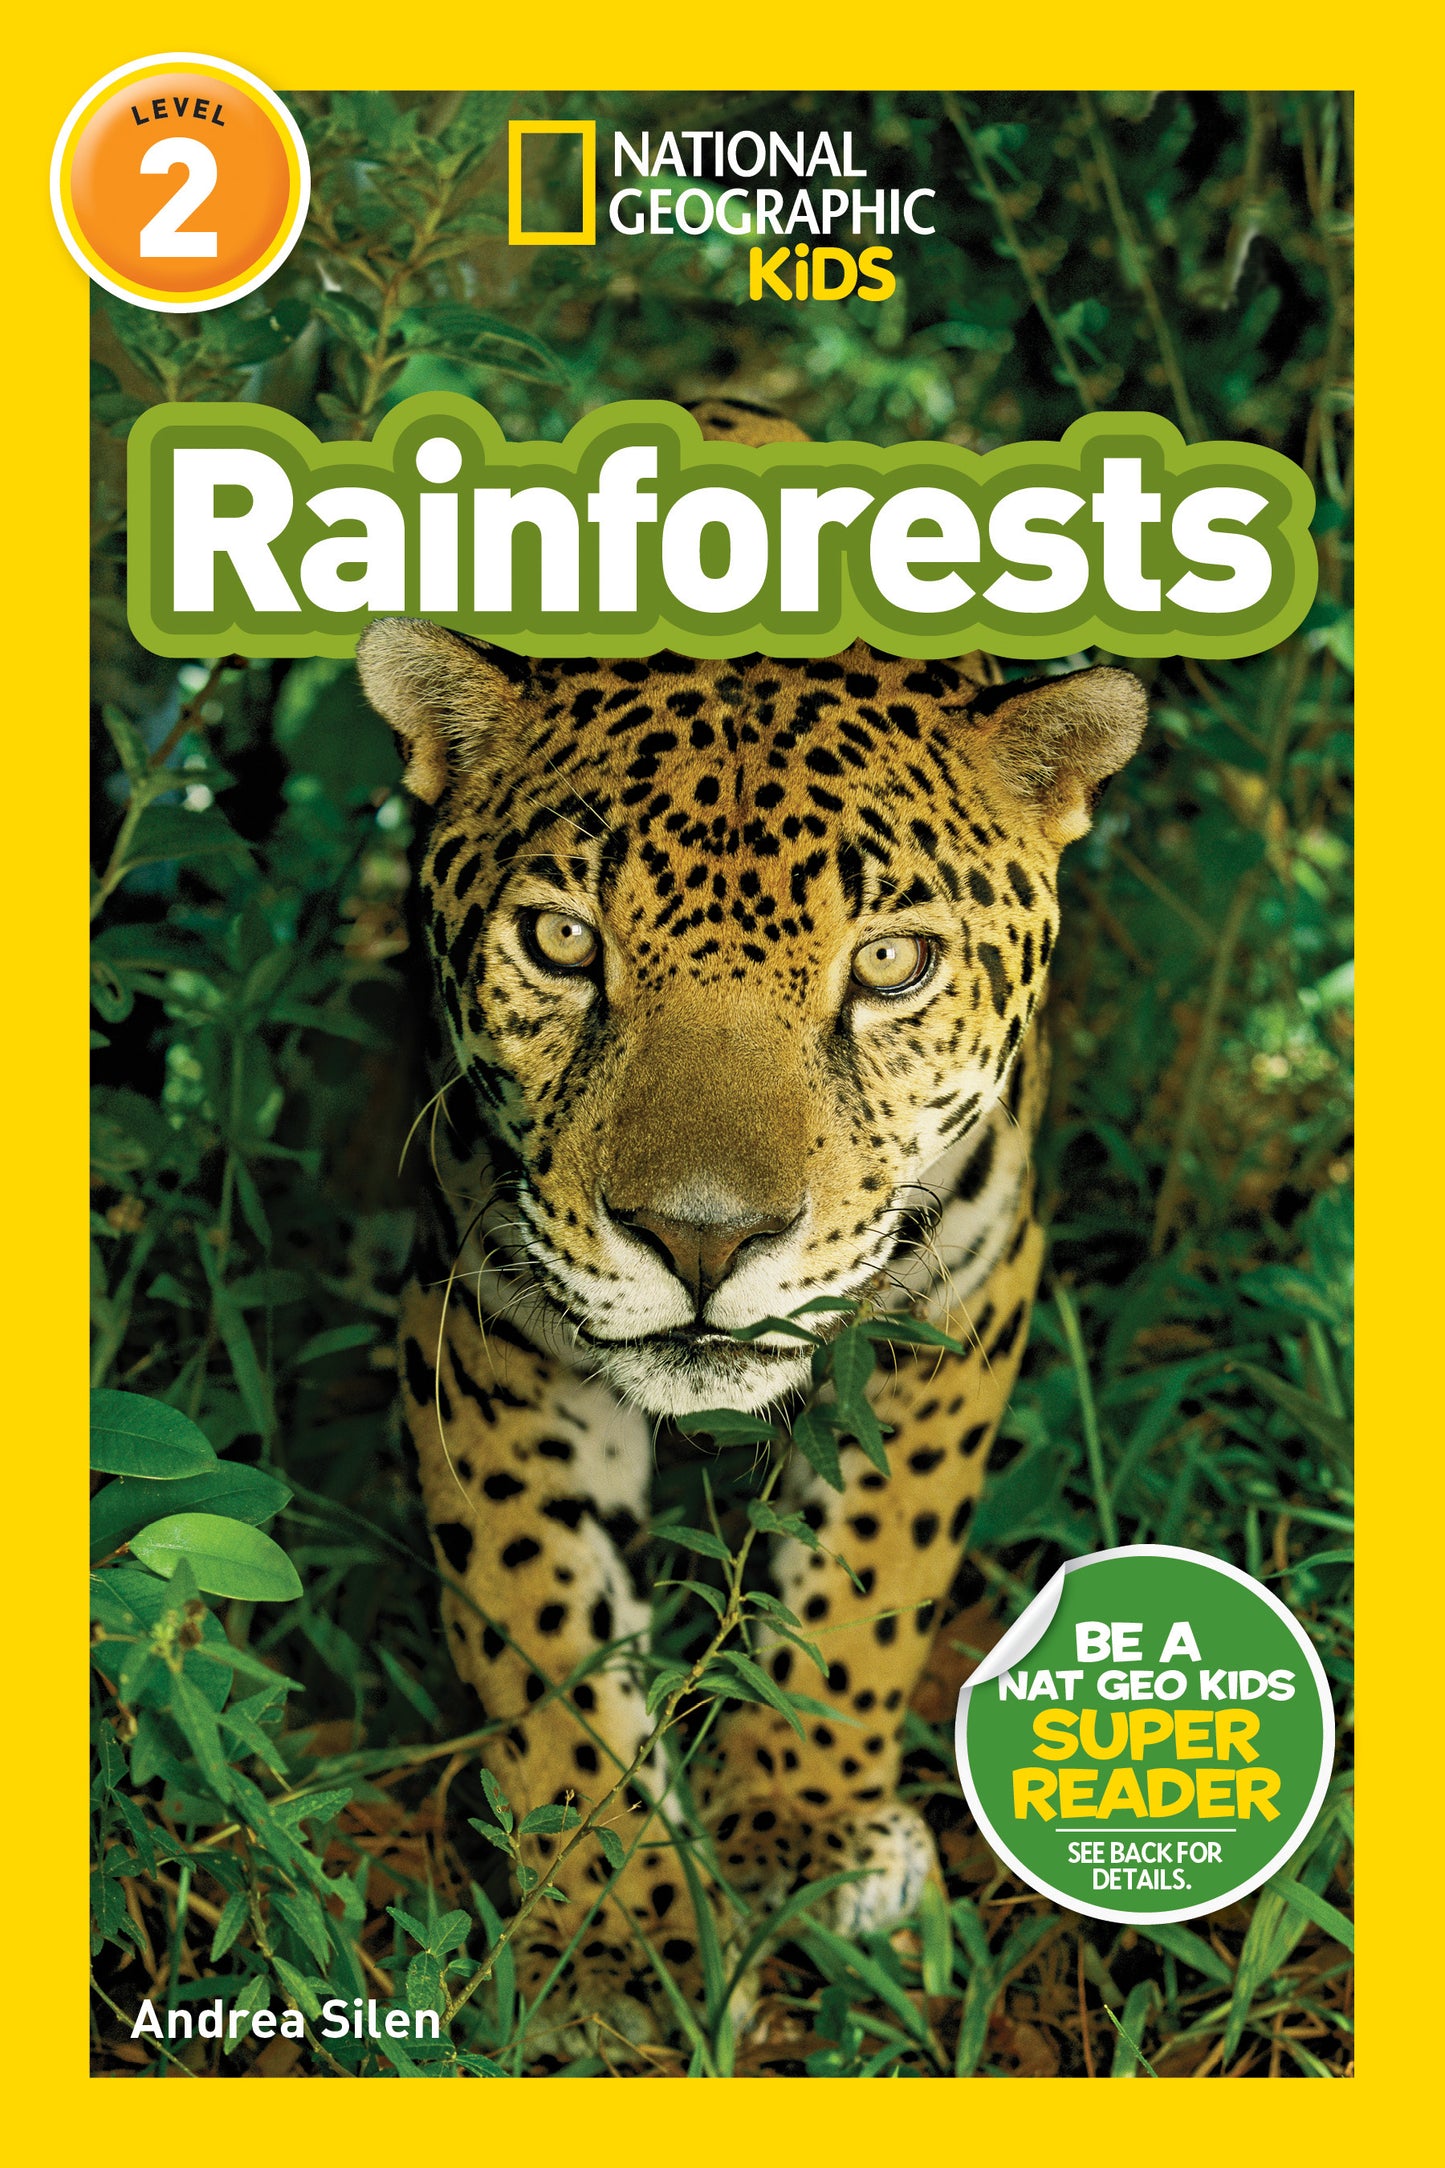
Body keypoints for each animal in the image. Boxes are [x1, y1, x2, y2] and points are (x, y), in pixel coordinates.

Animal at [355, 396, 1147, 2062]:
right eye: (561, 943)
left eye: (893, 965)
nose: (704, 1243)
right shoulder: (484, 1317)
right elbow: (543, 1628)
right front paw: (606, 1933)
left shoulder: (958, 1293)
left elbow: (870, 1572)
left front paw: (800, 1831)